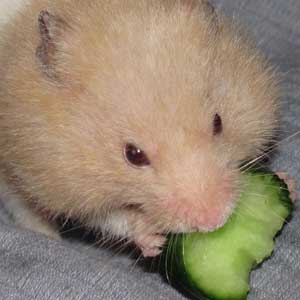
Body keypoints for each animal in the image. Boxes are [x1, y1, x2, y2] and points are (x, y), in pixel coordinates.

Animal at [0, 0, 278, 258]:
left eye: (218, 122)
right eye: (133, 155)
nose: (214, 221)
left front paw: (285, 181)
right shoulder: (64, 182)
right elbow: (106, 217)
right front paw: (153, 240)